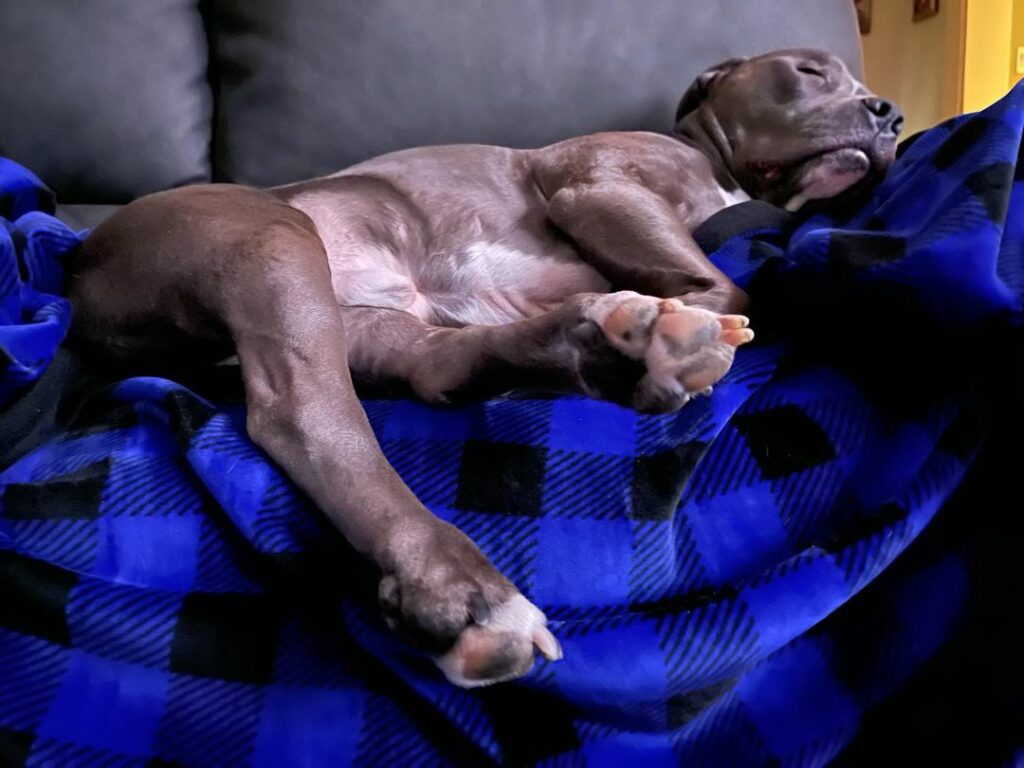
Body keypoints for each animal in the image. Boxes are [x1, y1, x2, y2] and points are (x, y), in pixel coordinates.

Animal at [66, 51, 897, 688]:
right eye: (808, 70)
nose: (888, 112)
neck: (723, 169)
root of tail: (79, 279)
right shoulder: (598, 187)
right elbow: (729, 285)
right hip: (270, 235)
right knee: (305, 416)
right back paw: (462, 587)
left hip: (371, 320)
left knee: (436, 368)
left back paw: (606, 352)